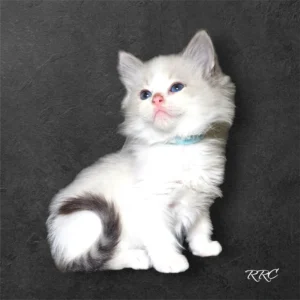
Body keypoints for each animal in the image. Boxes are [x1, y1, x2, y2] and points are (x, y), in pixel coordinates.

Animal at [46, 29, 234, 272]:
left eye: (176, 88)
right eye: (145, 94)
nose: (156, 99)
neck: (178, 146)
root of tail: (56, 240)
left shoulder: (200, 199)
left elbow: (201, 227)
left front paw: (204, 247)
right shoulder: (153, 206)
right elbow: (162, 237)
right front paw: (170, 262)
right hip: (92, 219)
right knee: (99, 261)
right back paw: (137, 258)